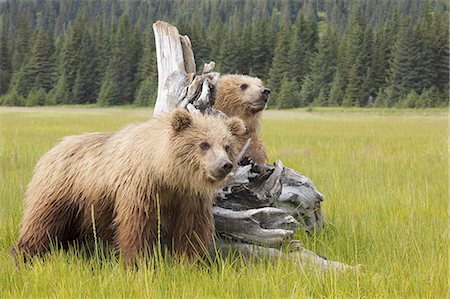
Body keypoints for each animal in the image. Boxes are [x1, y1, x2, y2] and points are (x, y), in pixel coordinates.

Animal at [13, 109, 246, 266]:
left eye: (227, 146)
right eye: (204, 144)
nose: (225, 165)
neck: (167, 173)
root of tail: (52, 150)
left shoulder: (188, 197)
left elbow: (192, 230)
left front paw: (189, 263)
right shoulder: (141, 188)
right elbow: (136, 227)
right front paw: (136, 262)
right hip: (61, 192)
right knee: (42, 224)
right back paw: (23, 255)